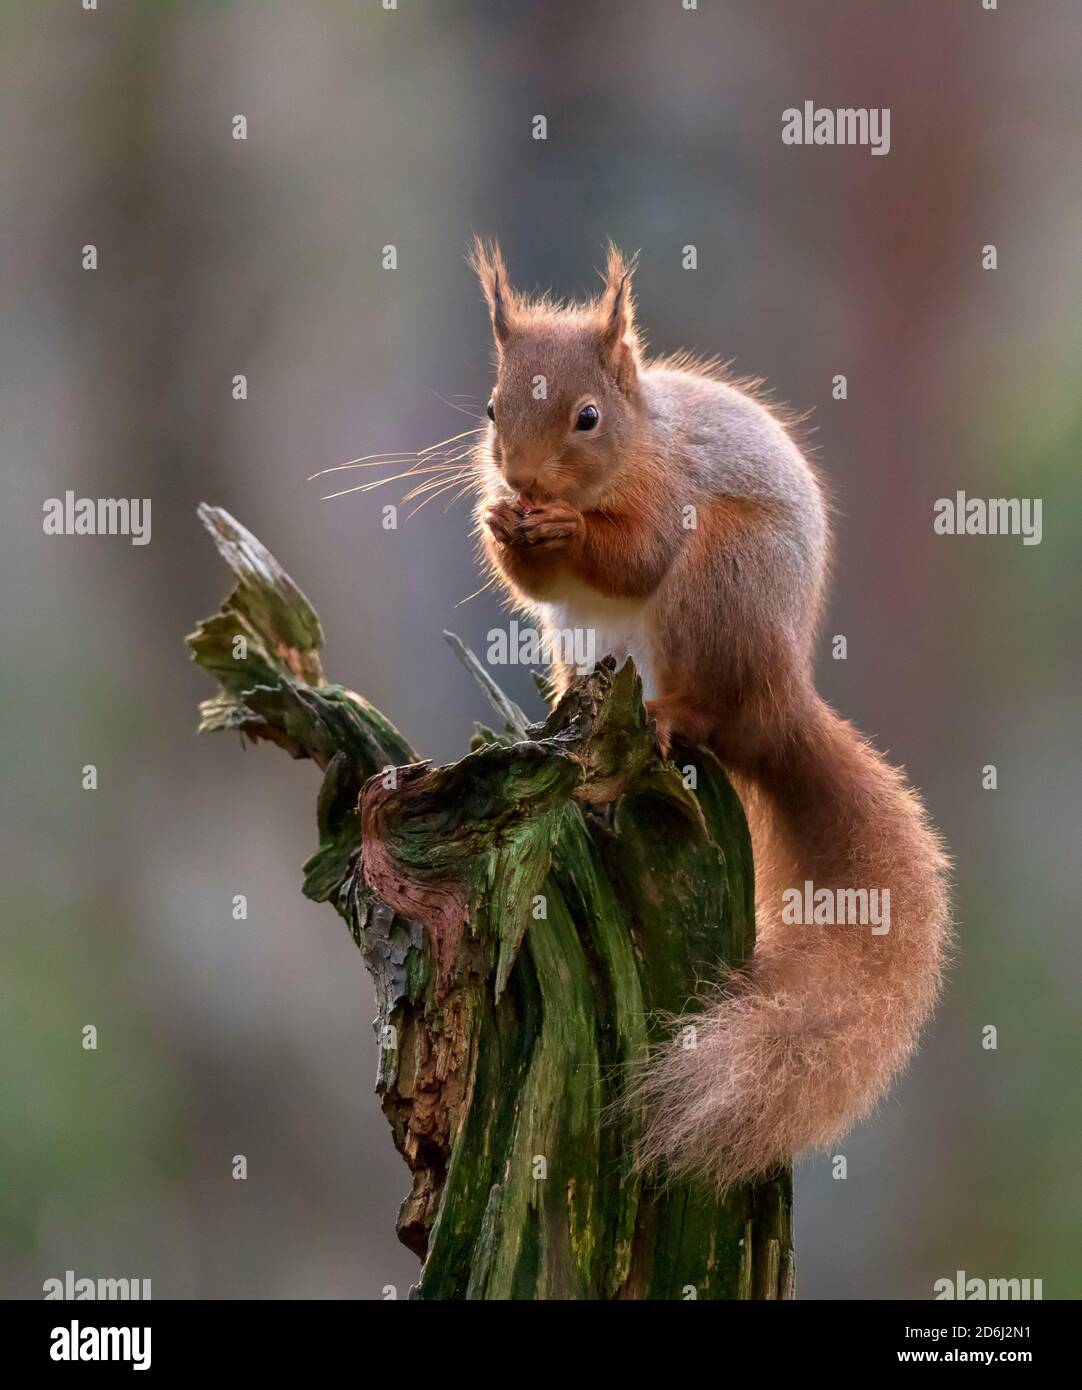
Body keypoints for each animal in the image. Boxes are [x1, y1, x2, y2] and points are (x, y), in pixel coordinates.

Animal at [464, 239, 945, 1184]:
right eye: (493, 406)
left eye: (586, 416)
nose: (523, 481)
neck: (639, 439)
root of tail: (780, 696)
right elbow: (528, 580)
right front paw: (504, 522)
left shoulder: (672, 491)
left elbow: (635, 555)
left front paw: (563, 531)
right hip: (580, 639)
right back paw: (568, 706)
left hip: (720, 580)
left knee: (708, 705)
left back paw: (668, 713)